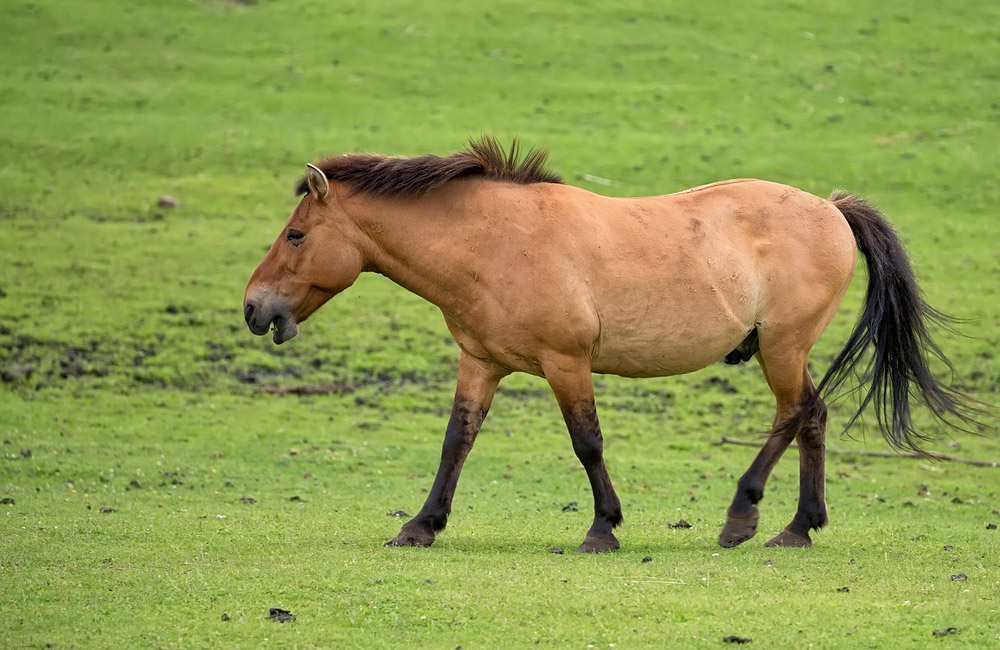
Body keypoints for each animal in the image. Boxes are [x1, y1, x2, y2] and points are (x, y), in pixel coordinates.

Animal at [242, 137, 976, 552]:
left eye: (297, 235)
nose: (253, 307)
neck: (494, 241)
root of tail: (831, 207)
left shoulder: (566, 363)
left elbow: (587, 443)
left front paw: (603, 528)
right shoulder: (481, 363)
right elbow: (457, 442)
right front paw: (422, 526)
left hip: (782, 348)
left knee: (795, 414)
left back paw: (742, 516)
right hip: (786, 352)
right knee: (814, 417)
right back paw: (798, 527)